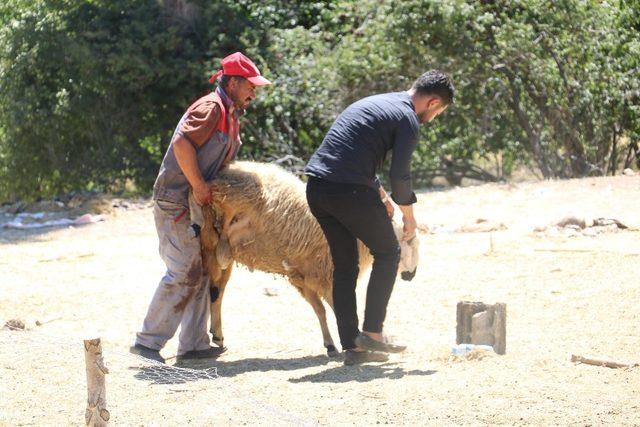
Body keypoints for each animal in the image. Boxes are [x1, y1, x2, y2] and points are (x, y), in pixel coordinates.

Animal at [200, 162, 420, 356]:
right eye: (412, 244)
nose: (411, 275)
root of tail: (220, 176)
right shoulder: (325, 276)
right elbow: (338, 307)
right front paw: (368, 342)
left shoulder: (304, 279)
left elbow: (320, 310)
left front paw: (330, 345)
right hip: (238, 200)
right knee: (224, 244)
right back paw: (227, 238)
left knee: (216, 290)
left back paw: (218, 334)